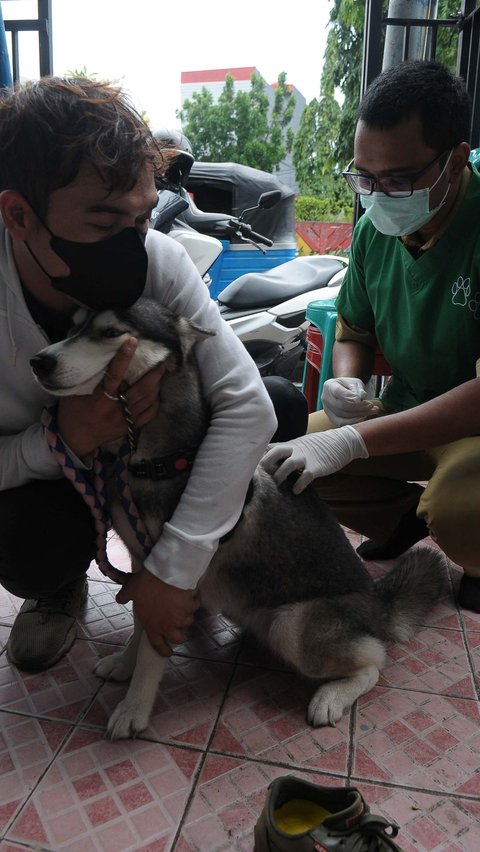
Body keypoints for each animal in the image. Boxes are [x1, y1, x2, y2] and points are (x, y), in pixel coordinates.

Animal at [31, 298, 446, 740]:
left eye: (110, 333)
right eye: (72, 328)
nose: (39, 360)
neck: (155, 460)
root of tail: (379, 603)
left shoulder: (173, 573)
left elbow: (152, 648)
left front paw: (134, 707)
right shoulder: (146, 565)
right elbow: (142, 625)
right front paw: (125, 664)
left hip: (293, 625)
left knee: (375, 661)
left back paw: (332, 696)